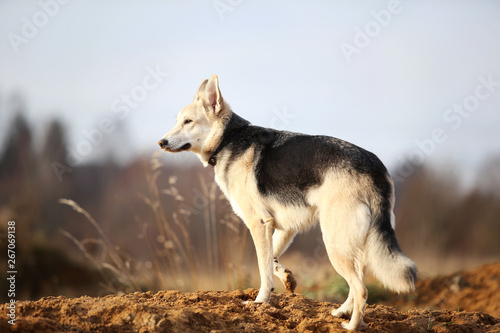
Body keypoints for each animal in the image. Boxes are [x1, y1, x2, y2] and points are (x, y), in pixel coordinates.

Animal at [158, 75, 416, 330]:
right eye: (178, 121)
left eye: (188, 122)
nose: (161, 142)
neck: (227, 139)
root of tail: (375, 167)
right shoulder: (283, 228)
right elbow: (271, 260)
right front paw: (286, 278)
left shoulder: (259, 224)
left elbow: (263, 267)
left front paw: (260, 302)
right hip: (354, 245)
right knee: (357, 283)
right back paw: (342, 312)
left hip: (335, 244)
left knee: (361, 288)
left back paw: (351, 325)